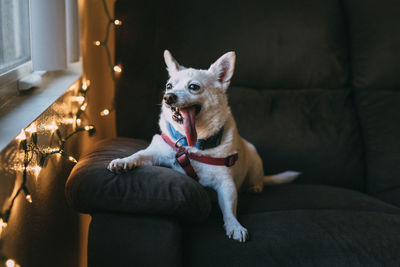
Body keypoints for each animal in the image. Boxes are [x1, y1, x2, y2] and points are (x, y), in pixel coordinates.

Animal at [108, 50, 298, 243]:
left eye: (193, 87)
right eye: (169, 86)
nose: (168, 97)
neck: (193, 145)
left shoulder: (226, 184)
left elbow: (229, 209)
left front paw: (235, 226)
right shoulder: (154, 153)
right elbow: (139, 155)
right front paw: (123, 161)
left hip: (254, 158)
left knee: (257, 180)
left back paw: (255, 187)